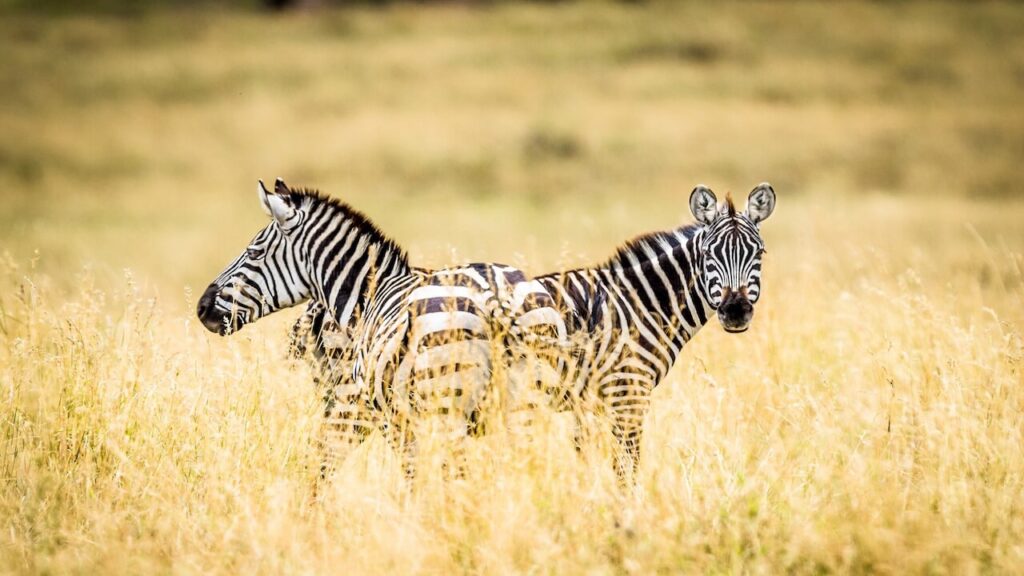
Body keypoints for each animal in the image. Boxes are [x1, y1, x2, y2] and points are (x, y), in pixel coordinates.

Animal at [505, 183, 776, 482]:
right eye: (708, 254)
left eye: (759, 253)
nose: (736, 311)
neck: (639, 302)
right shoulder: (628, 393)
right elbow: (626, 470)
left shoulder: (586, 402)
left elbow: (587, 461)